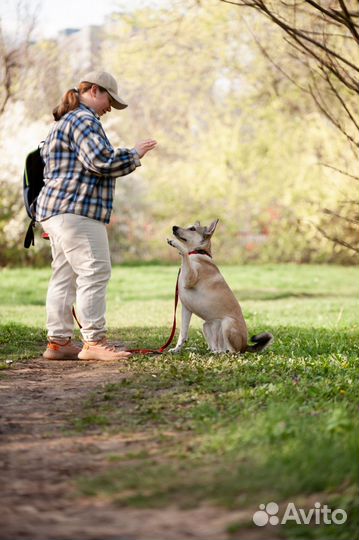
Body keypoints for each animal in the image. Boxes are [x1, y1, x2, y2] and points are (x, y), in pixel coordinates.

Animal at [167, 219, 274, 354]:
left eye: (192, 229)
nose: (174, 227)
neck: (198, 252)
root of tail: (245, 346)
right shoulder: (186, 308)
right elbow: (183, 333)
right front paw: (176, 349)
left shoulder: (190, 278)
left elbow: (185, 254)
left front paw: (175, 243)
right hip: (207, 325)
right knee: (216, 347)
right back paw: (210, 351)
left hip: (228, 324)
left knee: (234, 352)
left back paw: (223, 353)